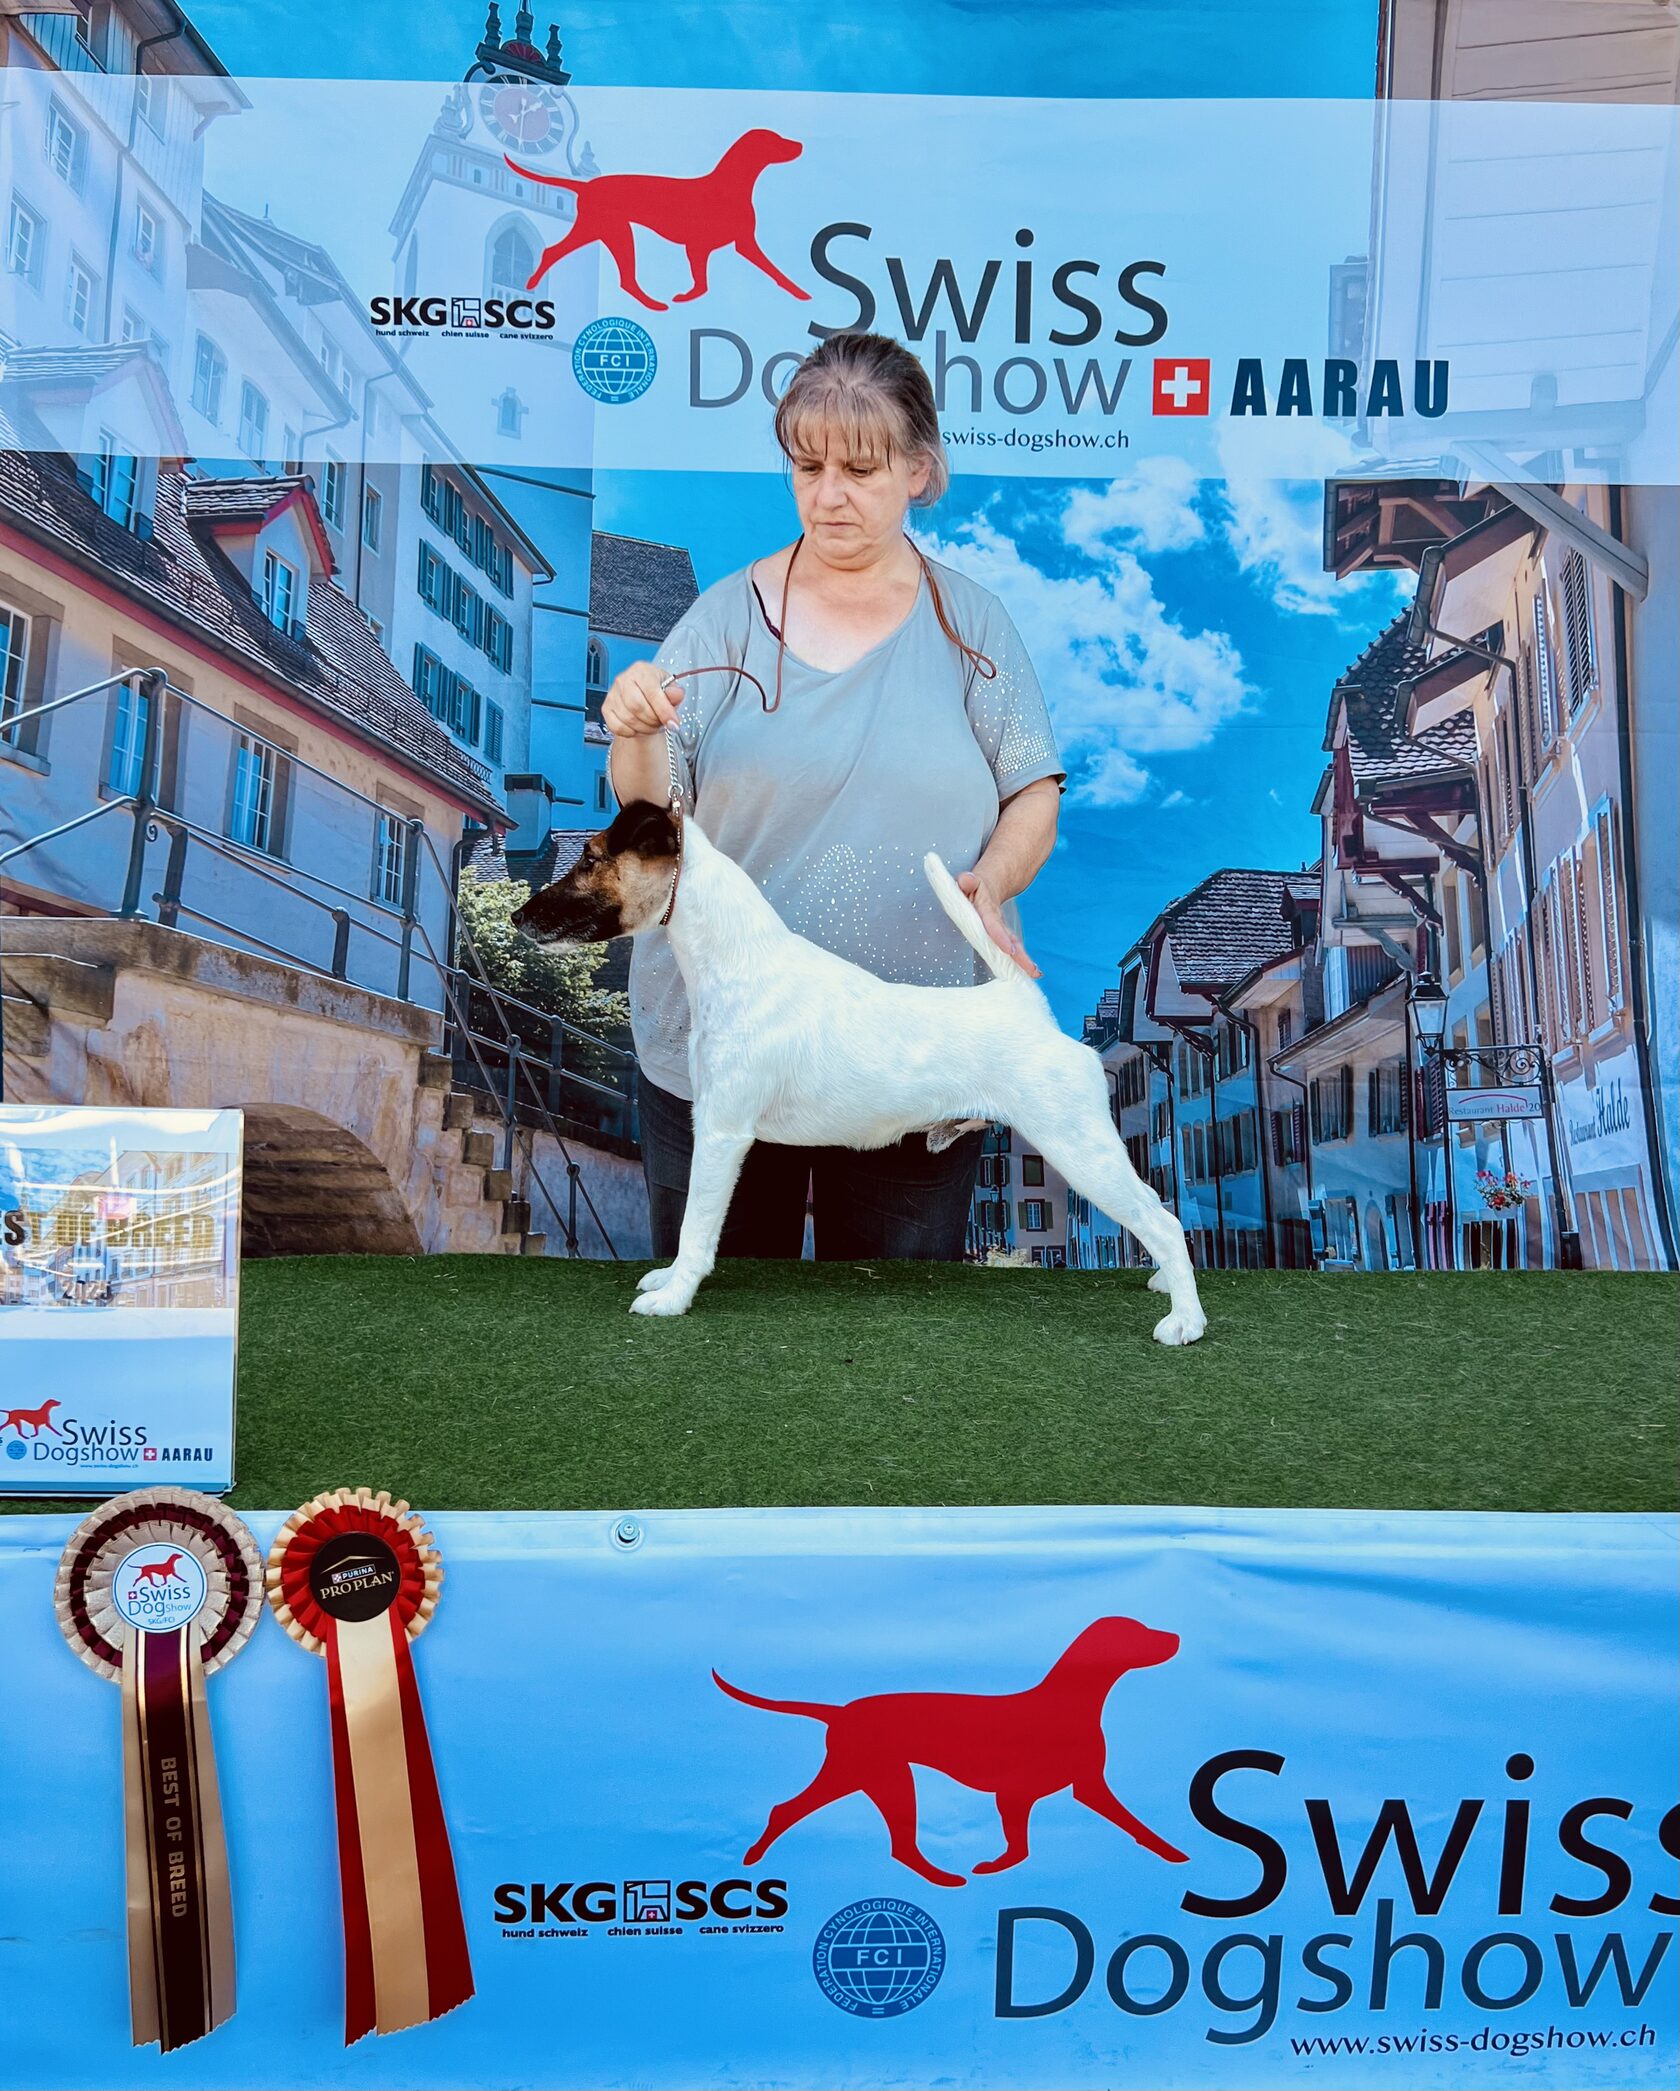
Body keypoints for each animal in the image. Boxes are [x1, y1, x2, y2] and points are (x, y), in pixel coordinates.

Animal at [507, 129, 809, 310]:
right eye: (775, 140)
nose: (800, 145)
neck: (729, 186)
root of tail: (587, 186)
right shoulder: (703, 247)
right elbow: (705, 284)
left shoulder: (739, 244)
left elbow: (769, 273)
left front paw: (800, 293)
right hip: (609, 231)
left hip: (602, 232)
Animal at [513, 800, 1206, 1342]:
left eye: (590, 859)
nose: (519, 918)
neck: (738, 959)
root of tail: (1024, 1007)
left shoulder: (721, 1132)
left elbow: (696, 1227)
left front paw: (674, 1296)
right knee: (1157, 1213)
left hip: (1078, 1145)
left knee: (1164, 1220)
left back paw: (1185, 1321)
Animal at [712, 1617, 1186, 1888]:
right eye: (1140, 1631)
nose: (1178, 1636)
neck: (1069, 1700)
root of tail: (841, 1711)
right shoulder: (1015, 1795)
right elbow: (1020, 1849)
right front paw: (995, 1868)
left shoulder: (1086, 1787)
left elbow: (1135, 1825)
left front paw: (1174, 1854)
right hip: (876, 1775)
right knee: (807, 1816)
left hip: (867, 1777)